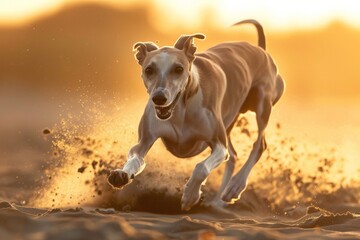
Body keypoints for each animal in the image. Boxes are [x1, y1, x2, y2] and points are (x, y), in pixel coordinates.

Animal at [106, 19, 284, 211]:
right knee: (233, 155)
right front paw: (122, 174)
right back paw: (218, 202)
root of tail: (261, 49)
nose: (159, 98)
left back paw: (234, 187)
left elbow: (201, 168)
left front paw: (191, 195)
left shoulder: (218, 144)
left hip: (263, 103)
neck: (182, 108)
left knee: (259, 145)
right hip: (229, 122)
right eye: (149, 70)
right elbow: (135, 157)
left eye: (178, 69)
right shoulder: (144, 140)